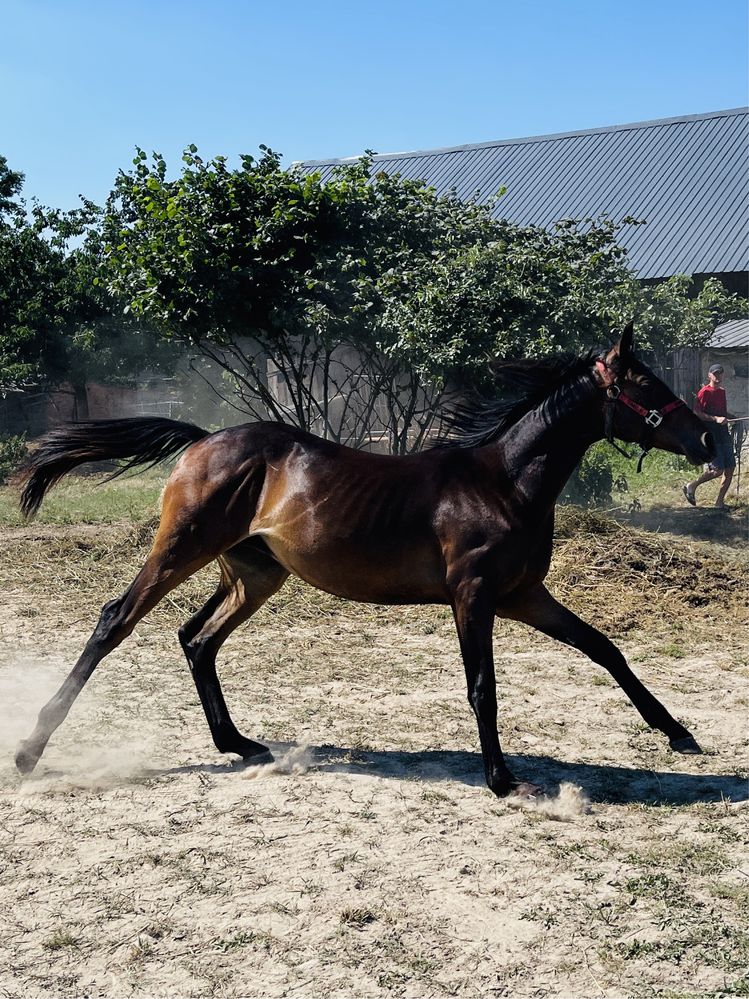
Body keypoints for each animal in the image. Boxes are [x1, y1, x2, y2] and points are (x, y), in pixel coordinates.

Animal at [13, 328, 712, 796]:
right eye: (644, 385)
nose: (709, 438)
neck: (504, 483)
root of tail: (203, 440)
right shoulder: (475, 595)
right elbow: (482, 685)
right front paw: (501, 777)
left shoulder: (523, 596)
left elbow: (604, 649)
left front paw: (678, 732)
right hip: (181, 549)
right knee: (115, 621)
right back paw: (30, 750)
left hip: (256, 574)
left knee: (196, 638)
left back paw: (239, 744)